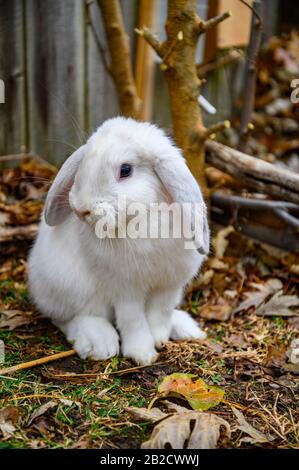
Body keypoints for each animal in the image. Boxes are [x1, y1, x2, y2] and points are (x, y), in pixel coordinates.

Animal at [28, 115, 211, 366]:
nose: (81, 208)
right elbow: (133, 320)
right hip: (69, 286)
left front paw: (160, 339)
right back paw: (99, 343)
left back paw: (185, 327)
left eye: (126, 170)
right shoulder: (125, 290)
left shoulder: (169, 286)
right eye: (84, 164)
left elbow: (160, 313)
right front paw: (142, 353)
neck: (143, 218)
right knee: (68, 318)